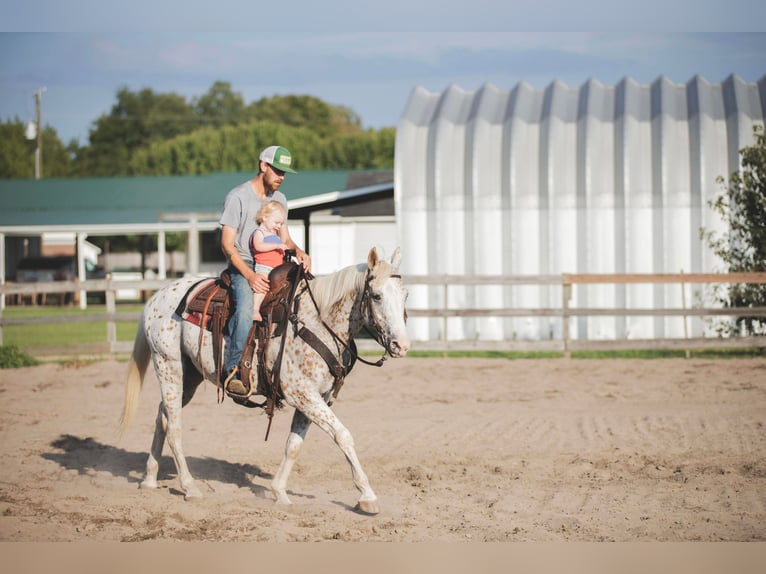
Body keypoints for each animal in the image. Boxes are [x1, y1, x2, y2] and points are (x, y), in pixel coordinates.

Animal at [119, 245, 412, 516]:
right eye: (377, 295)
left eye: (405, 295)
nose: (402, 345)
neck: (316, 322)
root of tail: (157, 298)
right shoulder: (303, 394)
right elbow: (343, 436)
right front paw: (367, 496)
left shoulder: (314, 398)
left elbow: (293, 445)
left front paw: (279, 492)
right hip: (168, 366)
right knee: (174, 426)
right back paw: (189, 487)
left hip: (189, 376)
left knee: (163, 416)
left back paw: (149, 479)